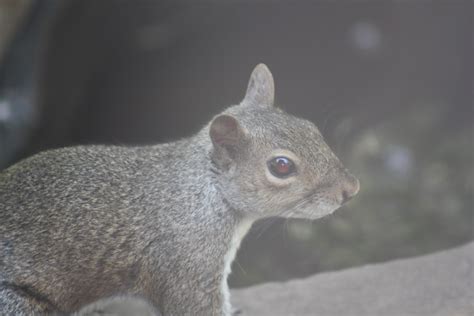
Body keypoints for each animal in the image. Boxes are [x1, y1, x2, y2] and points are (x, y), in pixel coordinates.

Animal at [0, 63, 360, 314]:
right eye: (281, 166)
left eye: (309, 127)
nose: (351, 188)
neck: (203, 188)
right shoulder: (187, 260)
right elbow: (193, 307)